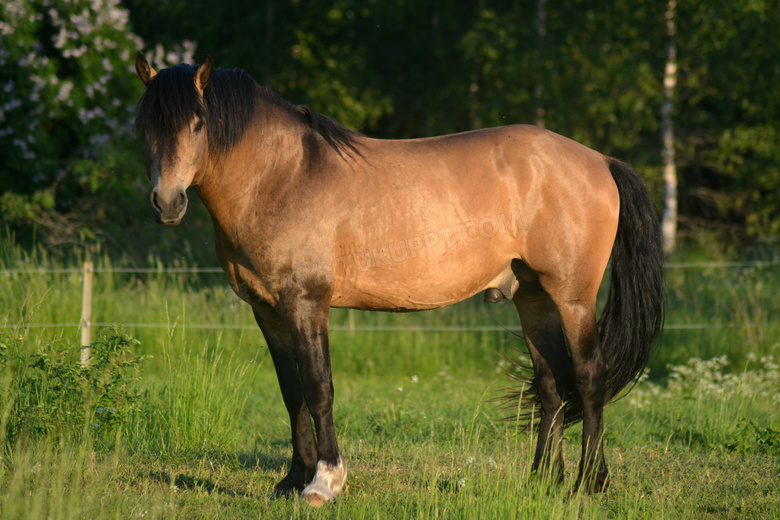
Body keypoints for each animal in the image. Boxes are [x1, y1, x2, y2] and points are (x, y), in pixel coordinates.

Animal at [134, 52, 664, 504]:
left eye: (198, 123)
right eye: (145, 126)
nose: (167, 203)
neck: (282, 176)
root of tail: (599, 161)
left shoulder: (306, 302)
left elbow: (318, 387)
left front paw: (324, 482)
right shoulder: (267, 309)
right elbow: (292, 393)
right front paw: (291, 479)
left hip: (572, 297)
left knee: (590, 378)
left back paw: (589, 483)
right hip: (532, 297)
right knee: (551, 385)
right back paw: (539, 483)